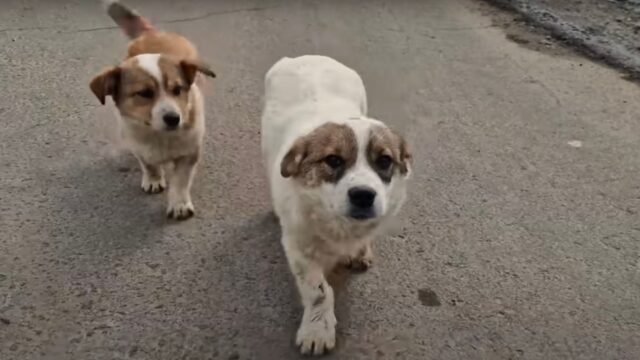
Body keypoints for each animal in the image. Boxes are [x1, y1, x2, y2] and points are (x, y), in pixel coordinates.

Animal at [90, 0, 216, 219]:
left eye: (177, 90)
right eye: (144, 93)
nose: (174, 118)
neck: (160, 136)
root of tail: (152, 33)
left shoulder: (189, 152)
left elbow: (181, 181)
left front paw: (179, 203)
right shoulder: (137, 144)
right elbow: (148, 163)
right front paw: (153, 178)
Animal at [262, 55, 412, 354]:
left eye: (385, 161)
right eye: (333, 160)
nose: (363, 195)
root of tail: (305, 56)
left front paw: (361, 249)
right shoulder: (298, 248)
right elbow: (319, 291)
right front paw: (318, 328)